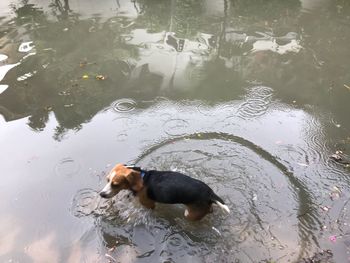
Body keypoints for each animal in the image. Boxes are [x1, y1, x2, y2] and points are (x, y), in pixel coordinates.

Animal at [99, 164, 230, 222]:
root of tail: (210, 193)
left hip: (189, 214)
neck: (142, 177)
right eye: (107, 180)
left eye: (115, 184)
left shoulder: (149, 205)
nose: (101, 194)